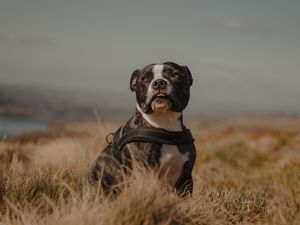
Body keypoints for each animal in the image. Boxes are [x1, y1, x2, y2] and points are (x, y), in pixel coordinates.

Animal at [84, 62, 197, 197]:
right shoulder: (144, 173)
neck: (164, 125)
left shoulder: (186, 178)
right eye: (145, 78)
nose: (159, 82)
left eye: (175, 75)